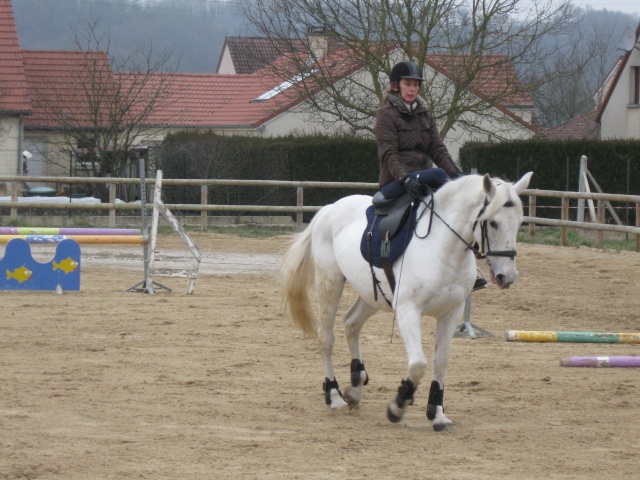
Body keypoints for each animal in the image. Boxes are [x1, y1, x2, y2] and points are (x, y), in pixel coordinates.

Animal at [280, 172, 528, 432]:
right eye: (493, 223)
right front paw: (398, 406)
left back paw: (356, 386)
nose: (507, 277)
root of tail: (329, 209)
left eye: (519, 221)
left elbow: (441, 363)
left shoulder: (451, 313)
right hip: (330, 283)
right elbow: (418, 364)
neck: (443, 248)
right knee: (326, 338)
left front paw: (437, 414)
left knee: (351, 323)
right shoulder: (409, 310)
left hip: (372, 294)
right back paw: (335, 395)